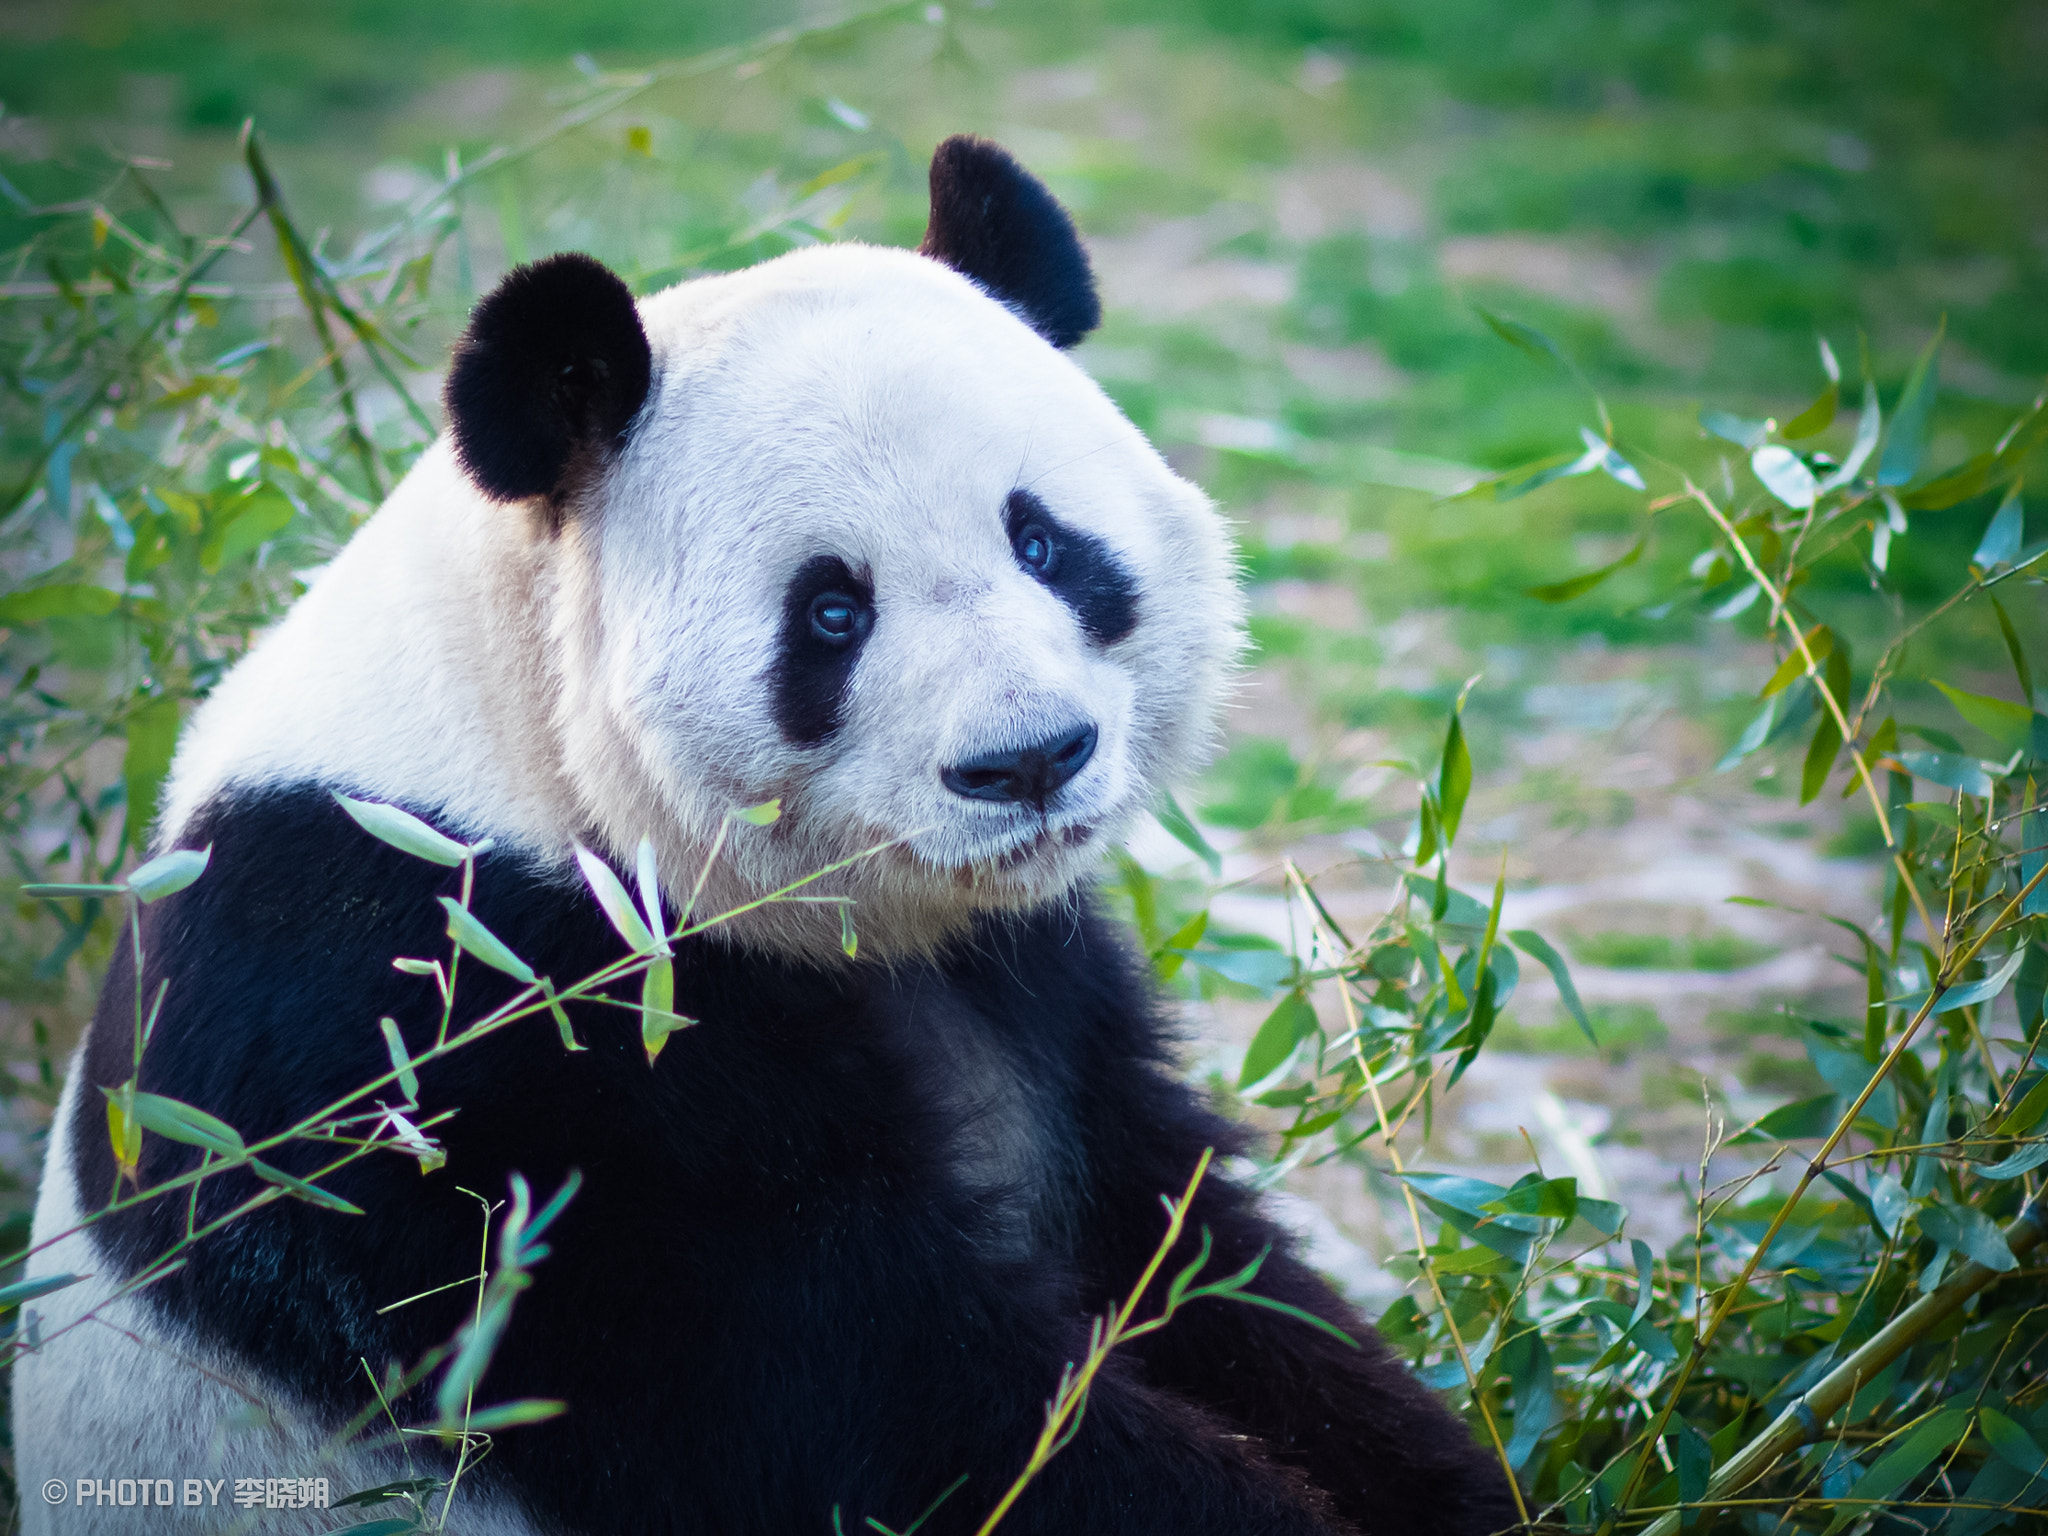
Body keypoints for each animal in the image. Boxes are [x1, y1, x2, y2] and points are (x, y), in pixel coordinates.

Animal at [17, 137, 1515, 1536]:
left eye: (1044, 543)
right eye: (832, 612)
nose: (1029, 761)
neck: (517, 754)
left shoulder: (1027, 981)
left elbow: (1193, 1263)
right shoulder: (421, 1025)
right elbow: (879, 1405)